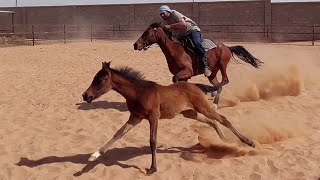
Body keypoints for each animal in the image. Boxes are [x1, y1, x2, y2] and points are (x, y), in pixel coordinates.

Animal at [82, 61, 255, 174]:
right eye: (93, 78)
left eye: (101, 80)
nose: (85, 95)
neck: (138, 92)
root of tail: (195, 86)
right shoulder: (135, 117)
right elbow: (118, 134)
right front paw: (94, 156)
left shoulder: (154, 117)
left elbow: (152, 141)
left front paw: (153, 168)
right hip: (190, 113)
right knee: (212, 121)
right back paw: (223, 141)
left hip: (202, 107)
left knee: (223, 119)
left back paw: (248, 142)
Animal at [133, 21, 262, 108]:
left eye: (147, 32)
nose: (135, 45)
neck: (176, 49)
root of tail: (227, 47)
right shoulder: (183, 75)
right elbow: (180, 84)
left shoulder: (187, 72)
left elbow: (175, 80)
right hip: (212, 73)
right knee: (219, 85)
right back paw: (214, 102)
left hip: (222, 65)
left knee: (225, 80)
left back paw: (212, 92)